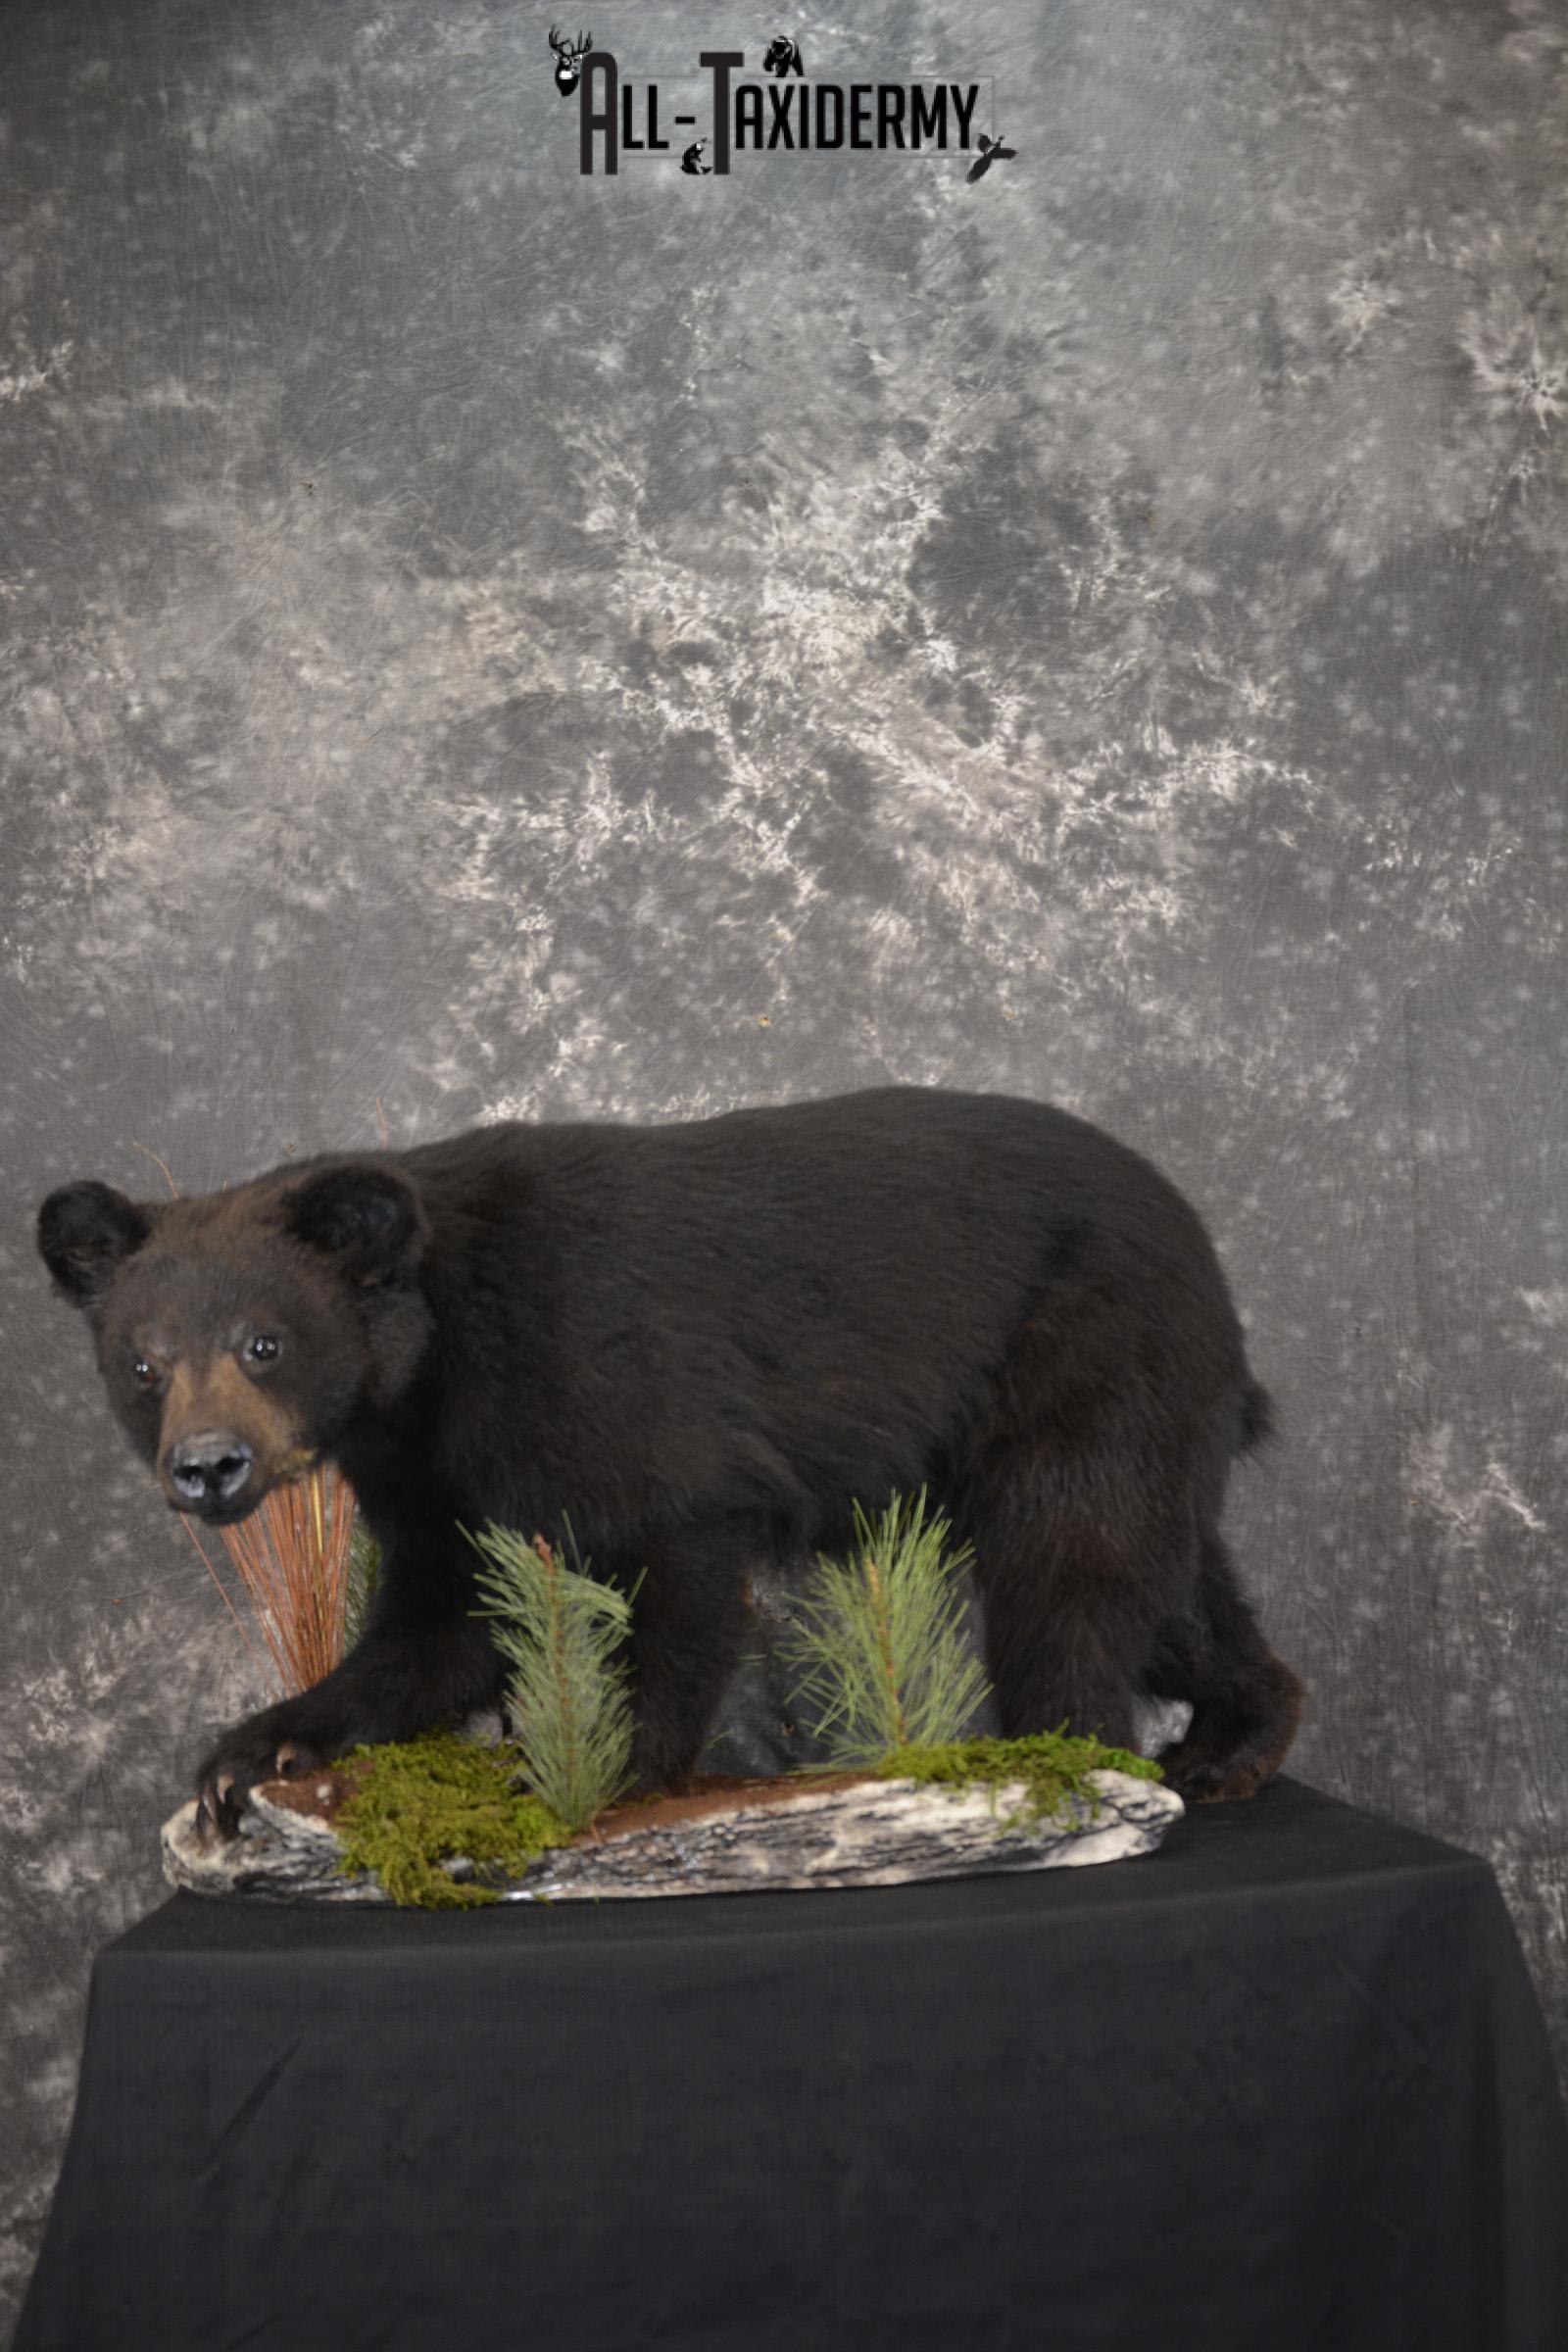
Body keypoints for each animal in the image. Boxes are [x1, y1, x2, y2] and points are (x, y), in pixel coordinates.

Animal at [36, 1085, 1305, 1837]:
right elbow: (442, 1622)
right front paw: (250, 1753)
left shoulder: (607, 1381)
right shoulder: (432, 1474)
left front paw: (594, 1778)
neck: (438, 1356)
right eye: (143, 1363)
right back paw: (1231, 1743)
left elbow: (678, 1575)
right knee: (1168, 1574)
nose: (207, 1467)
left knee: (1072, 1559)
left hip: (1089, 1351)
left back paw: (1071, 1761)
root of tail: (1205, 1255)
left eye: (264, 1342)